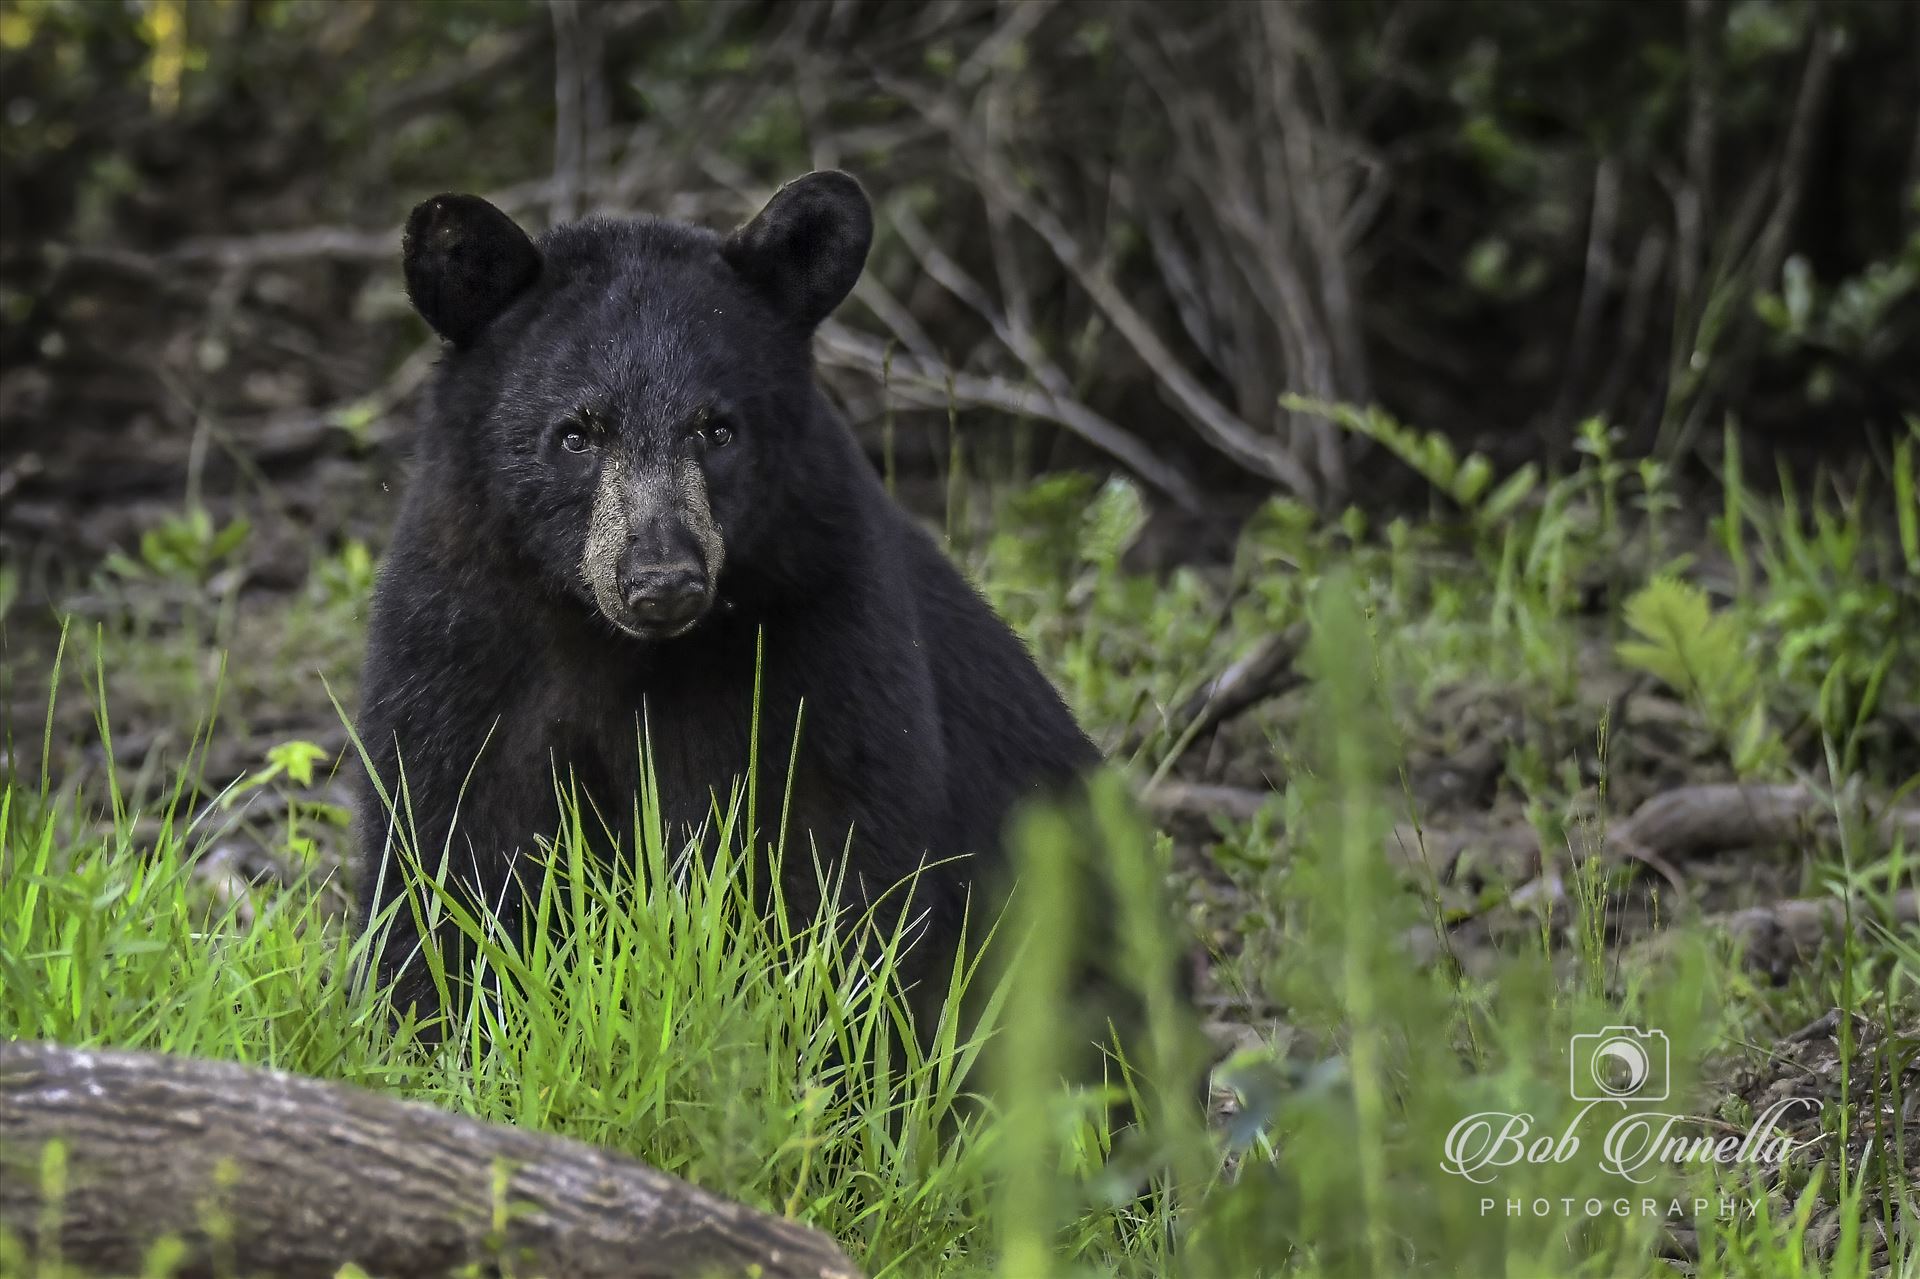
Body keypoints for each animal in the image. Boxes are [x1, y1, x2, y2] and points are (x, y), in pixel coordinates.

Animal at [355, 168, 1113, 1044]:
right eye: (577, 432)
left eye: (716, 429)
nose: (660, 578)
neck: (617, 648)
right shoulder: (460, 635)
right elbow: (443, 845)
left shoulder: (824, 628)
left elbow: (839, 865)